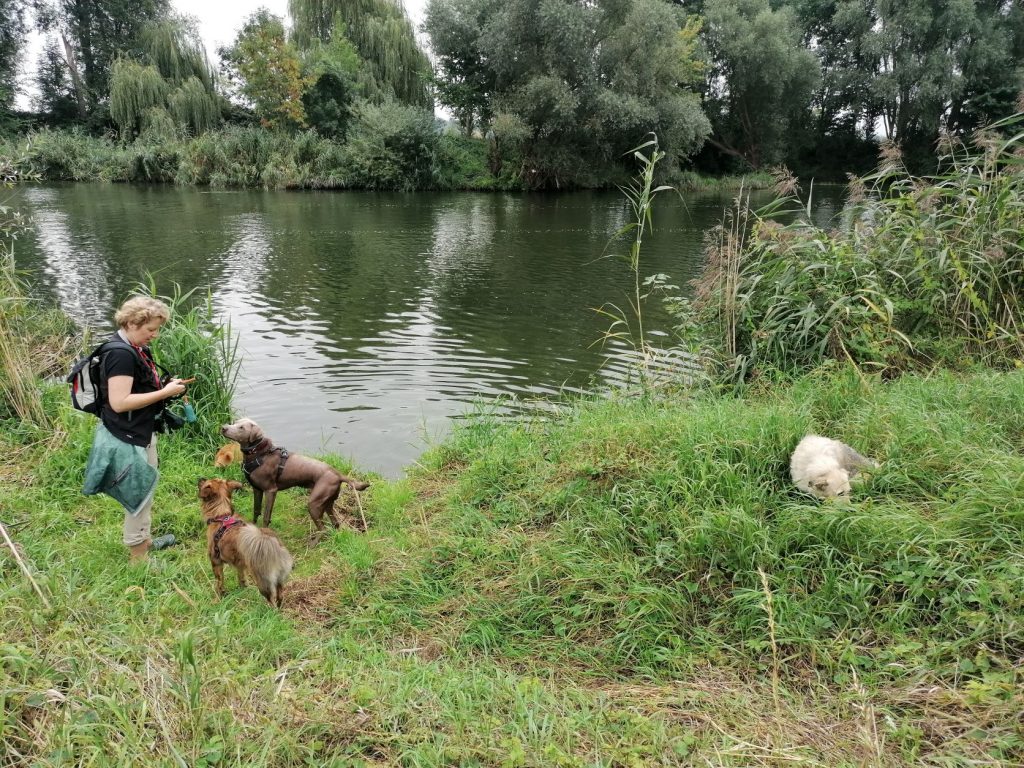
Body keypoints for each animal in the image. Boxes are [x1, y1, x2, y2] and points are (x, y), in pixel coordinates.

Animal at [198, 477, 293, 607]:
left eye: (206, 482)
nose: (200, 478)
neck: (222, 515)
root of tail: (271, 544)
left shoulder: (215, 561)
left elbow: (220, 582)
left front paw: (219, 598)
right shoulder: (240, 564)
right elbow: (242, 578)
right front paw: (243, 589)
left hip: (263, 581)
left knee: (271, 600)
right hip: (279, 579)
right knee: (279, 596)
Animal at [220, 418, 370, 532]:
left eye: (241, 428)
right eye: (234, 422)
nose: (223, 428)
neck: (258, 454)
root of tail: (338, 474)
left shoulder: (271, 490)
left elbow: (266, 516)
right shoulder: (257, 489)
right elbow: (256, 510)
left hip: (314, 503)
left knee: (323, 529)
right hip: (327, 502)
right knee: (335, 523)